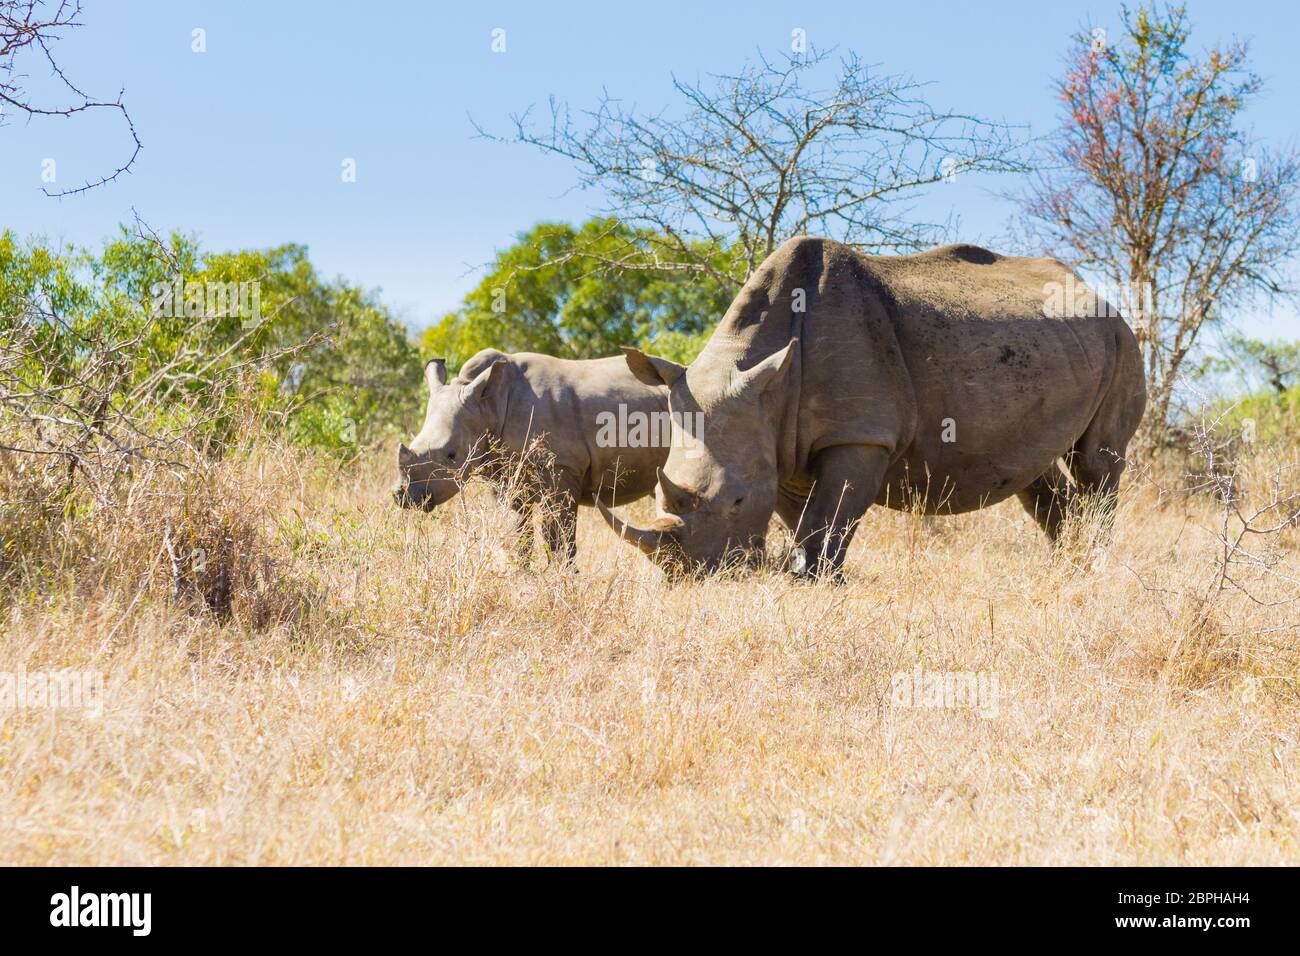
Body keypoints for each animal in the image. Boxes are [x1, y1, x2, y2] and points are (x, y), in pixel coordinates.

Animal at [390, 348, 665, 561]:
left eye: (451, 455)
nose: (402, 495)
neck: (489, 405)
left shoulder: (560, 469)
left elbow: (558, 540)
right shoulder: (503, 472)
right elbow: (517, 535)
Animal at [600, 238, 1149, 574]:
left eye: (735, 501)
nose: (687, 574)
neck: (762, 369)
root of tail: (1095, 293)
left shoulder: (861, 434)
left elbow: (828, 524)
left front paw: (815, 584)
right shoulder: (779, 446)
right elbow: (807, 526)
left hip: (1121, 339)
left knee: (1097, 463)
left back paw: (1090, 569)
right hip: (1059, 347)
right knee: (1036, 473)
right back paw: (1066, 571)